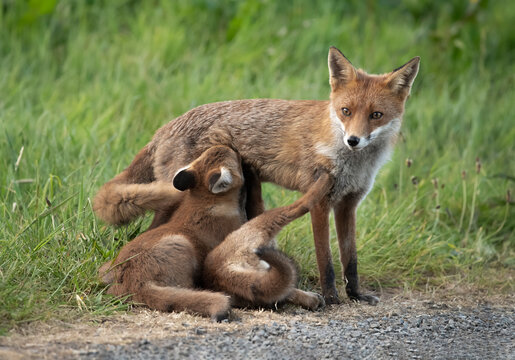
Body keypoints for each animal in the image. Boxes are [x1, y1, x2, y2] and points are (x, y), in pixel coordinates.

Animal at [94, 45, 422, 304]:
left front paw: (355, 295)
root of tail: (163, 128)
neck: (353, 163)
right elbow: (326, 260)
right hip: (173, 201)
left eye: (376, 115)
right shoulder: (321, 202)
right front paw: (331, 297)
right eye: (346, 111)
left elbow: (350, 259)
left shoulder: (348, 204)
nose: (353, 140)